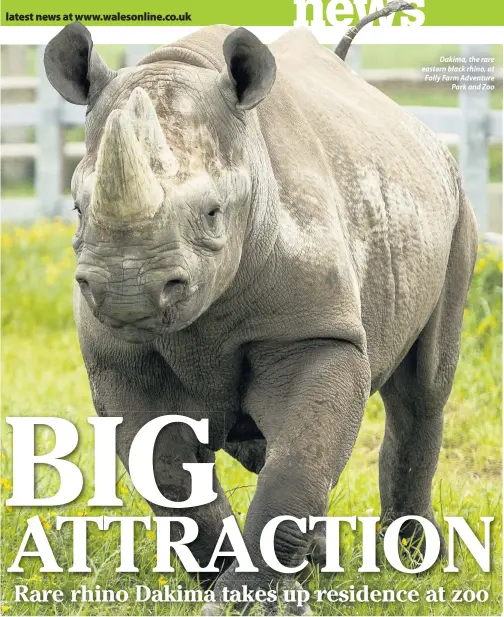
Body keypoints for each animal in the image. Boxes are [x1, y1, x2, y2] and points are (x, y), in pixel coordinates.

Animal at [43, 3, 476, 612]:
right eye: (78, 210)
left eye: (212, 213)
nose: (128, 291)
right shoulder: (118, 357)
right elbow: (171, 480)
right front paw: (237, 587)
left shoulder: (319, 334)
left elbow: (298, 460)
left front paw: (244, 601)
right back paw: (324, 566)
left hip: (455, 203)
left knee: (423, 391)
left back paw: (412, 562)